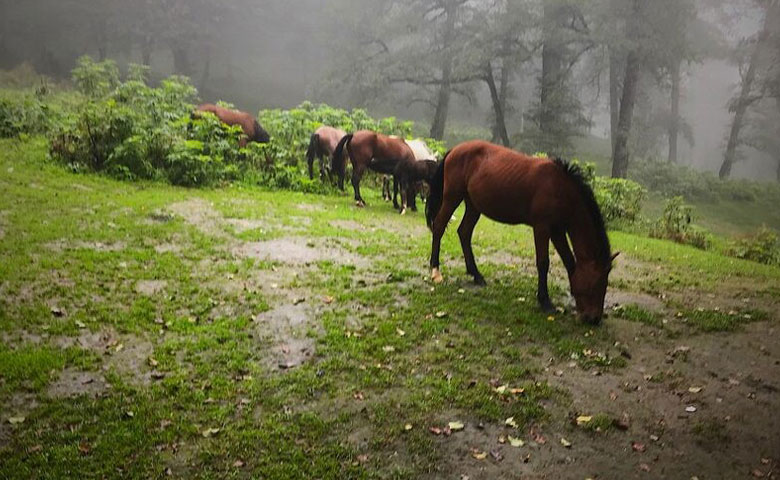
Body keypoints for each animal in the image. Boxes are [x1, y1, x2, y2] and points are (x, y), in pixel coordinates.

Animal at [424, 141, 620, 324]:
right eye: (598, 282)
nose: (594, 318)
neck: (560, 189)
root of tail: (455, 149)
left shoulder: (557, 231)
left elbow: (569, 261)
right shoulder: (542, 228)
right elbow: (543, 263)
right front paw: (545, 301)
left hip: (473, 205)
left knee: (464, 232)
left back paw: (476, 274)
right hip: (452, 197)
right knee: (439, 227)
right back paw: (435, 270)